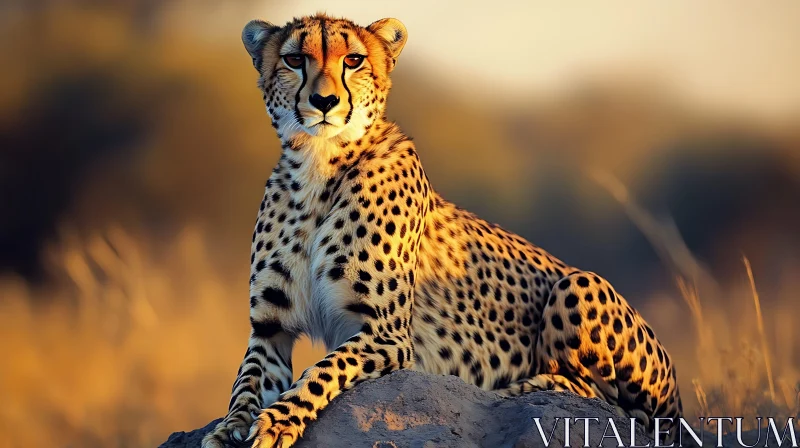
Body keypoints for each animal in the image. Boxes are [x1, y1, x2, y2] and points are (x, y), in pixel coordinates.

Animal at [200, 14, 680, 448]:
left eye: (353, 60)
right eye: (295, 59)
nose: (324, 101)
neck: (320, 163)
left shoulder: (388, 335)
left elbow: (322, 371)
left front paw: (279, 421)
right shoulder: (270, 329)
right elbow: (245, 383)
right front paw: (229, 429)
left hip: (579, 285)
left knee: (605, 401)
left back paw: (520, 387)